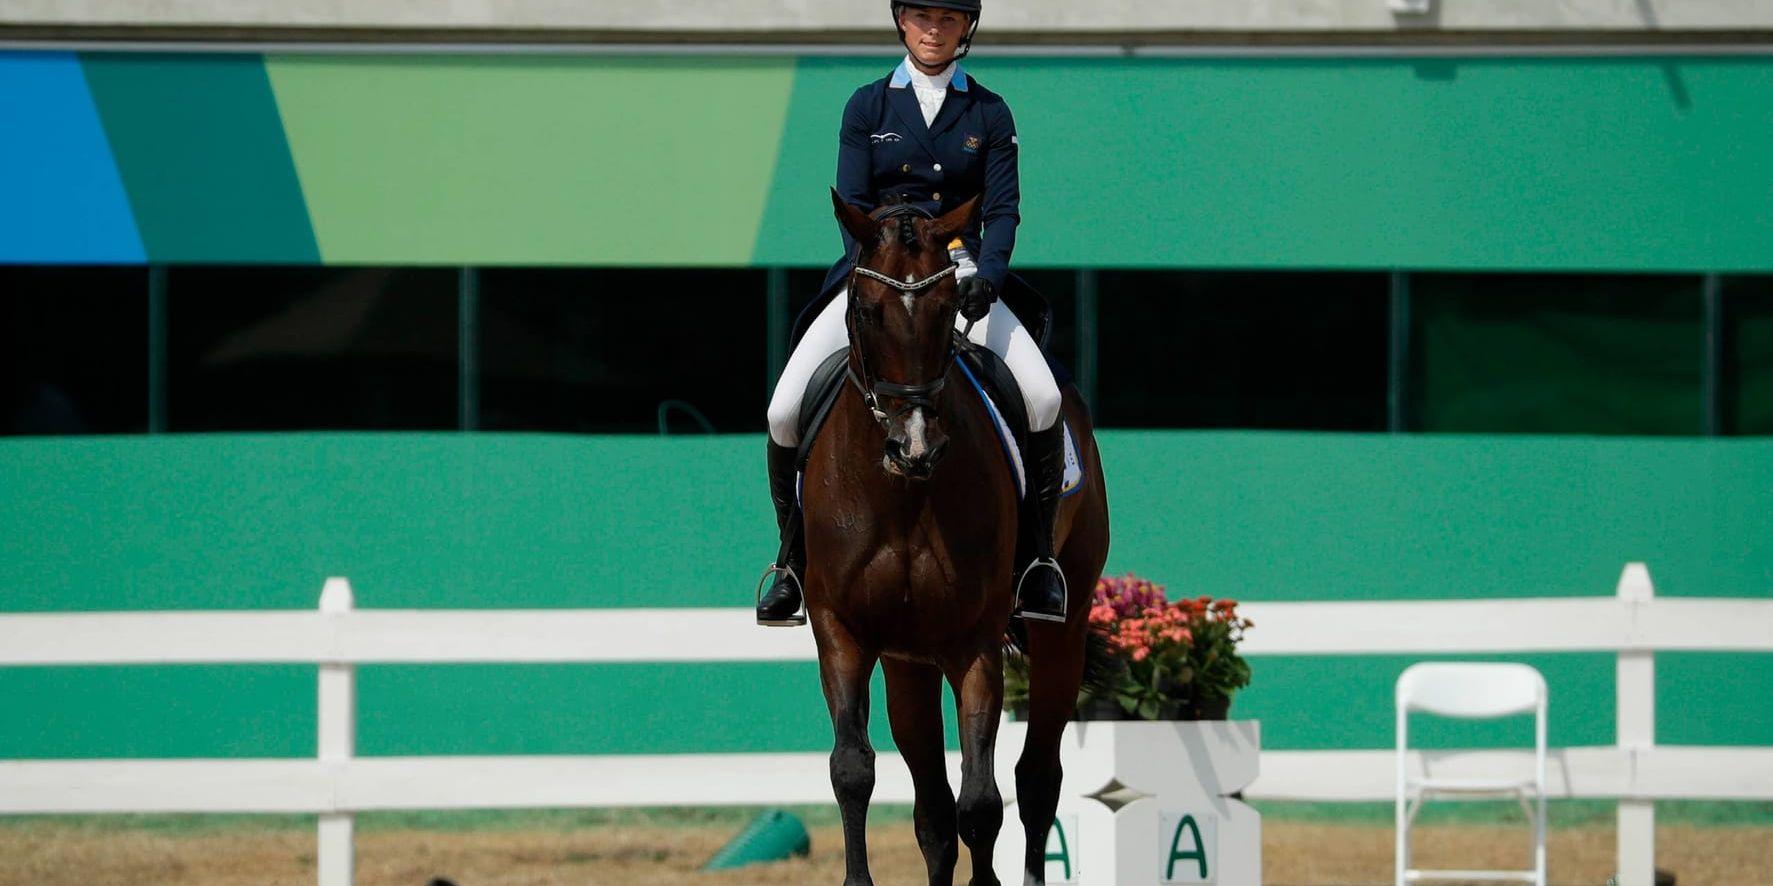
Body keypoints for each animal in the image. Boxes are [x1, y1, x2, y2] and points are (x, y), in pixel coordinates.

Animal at [804, 190, 1106, 882]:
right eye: (867, 309)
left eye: (949, 309)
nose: (914, 447)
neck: (903, 496)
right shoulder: (842, 629)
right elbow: (854, 770)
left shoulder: (975, 640)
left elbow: (982, 801)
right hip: (907, 660)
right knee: (933, 812)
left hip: (1062, 632)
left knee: (1036, 778)